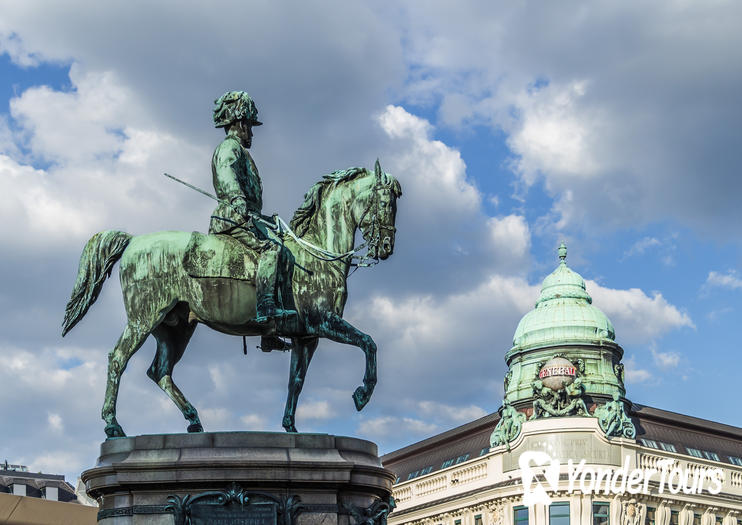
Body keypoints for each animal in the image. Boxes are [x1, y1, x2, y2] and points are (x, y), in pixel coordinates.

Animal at [62, 160, 402, 438]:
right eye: (385, 202)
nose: (386, 247)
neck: (317, 253)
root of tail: (133, 241)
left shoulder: (307, 336)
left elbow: (296, 381)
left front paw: (290, 426)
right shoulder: (324, 322)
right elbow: (369, 343)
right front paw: (362, 394)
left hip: (175, 328)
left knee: (160, 371)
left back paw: (193, 419)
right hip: (143, 318)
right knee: (118, 360)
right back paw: (112, 425)